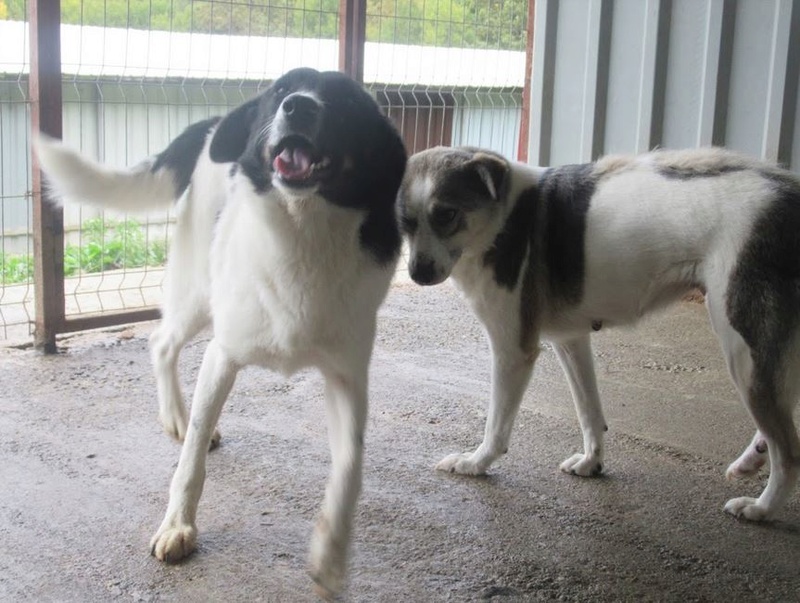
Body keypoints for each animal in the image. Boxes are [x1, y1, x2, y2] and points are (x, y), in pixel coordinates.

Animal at [35, 67, 406, 600]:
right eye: (281, 90)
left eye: (346, 101)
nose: (298, 106)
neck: (302, 232)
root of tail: (212, 125)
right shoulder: (222, 355)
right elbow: (189, 463)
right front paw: (177, 526)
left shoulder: (347, 378)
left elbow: (350, 469)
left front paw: (332, 554)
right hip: (198, 293)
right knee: (161, 343)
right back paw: (178, 416)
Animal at [396, 147, 800, 524]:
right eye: (405, 222)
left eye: (446, 214)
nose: (417, 273)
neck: (501, 219)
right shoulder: (571, 340)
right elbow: (589, 410)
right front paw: (592, 462)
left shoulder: (513, 351)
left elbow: (496, 424)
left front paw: (475, 463)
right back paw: (752, 460)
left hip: (741, 346)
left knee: (789, 449)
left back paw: (762, 507)